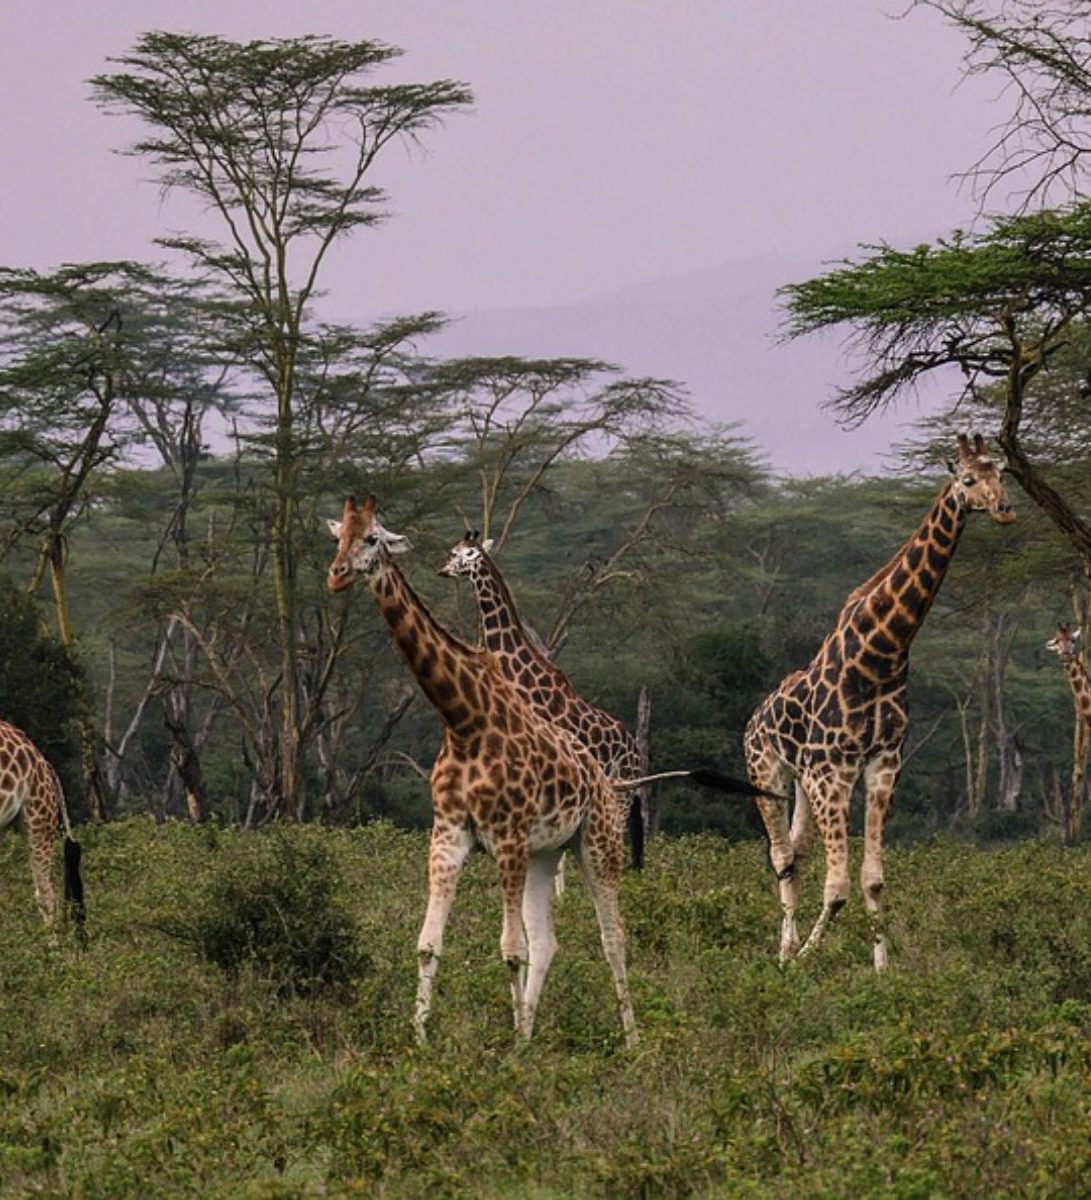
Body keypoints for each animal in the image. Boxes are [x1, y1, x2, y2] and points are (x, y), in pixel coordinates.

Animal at [327, 495, 638, 1045]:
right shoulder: (449, 835)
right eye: (338, 536)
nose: (337, 575)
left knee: (612, 935)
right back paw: (530, 1035)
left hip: (598, 837)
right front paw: (422, 1040)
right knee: (548, 940)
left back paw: (634, 1040)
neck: (463, 719)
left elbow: (510, 949)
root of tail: (601, 772)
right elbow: (429, 943)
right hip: (546, 850)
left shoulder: (507, 837)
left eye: (373, 538)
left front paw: (508, 1047)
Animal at [744, 434, 1015, 971]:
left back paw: (787, 947)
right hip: (768, 772)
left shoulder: (882, 764)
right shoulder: (833, 771)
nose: (1005, 509)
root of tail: (754, 717)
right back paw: (784, 954)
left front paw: (883, 970)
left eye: (1001, 471)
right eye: (968, 478)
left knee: (797, 856)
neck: (883, 654)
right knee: (781, 858)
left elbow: (872, 880)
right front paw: (805, 960)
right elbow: (839, 886)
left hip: (803, 781)